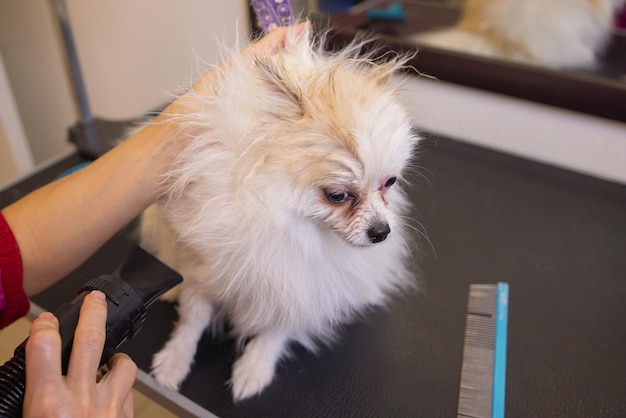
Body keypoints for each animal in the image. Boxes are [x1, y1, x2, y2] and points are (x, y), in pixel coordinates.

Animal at [139, 26, 416, 402]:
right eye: (337, 196)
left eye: (390, 182)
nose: (381, 231)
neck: (288, 223)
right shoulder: (205, 268)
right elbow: (192, 320)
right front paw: (175, 358)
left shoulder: (300, 287)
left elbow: (276, 330)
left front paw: (254, 368)